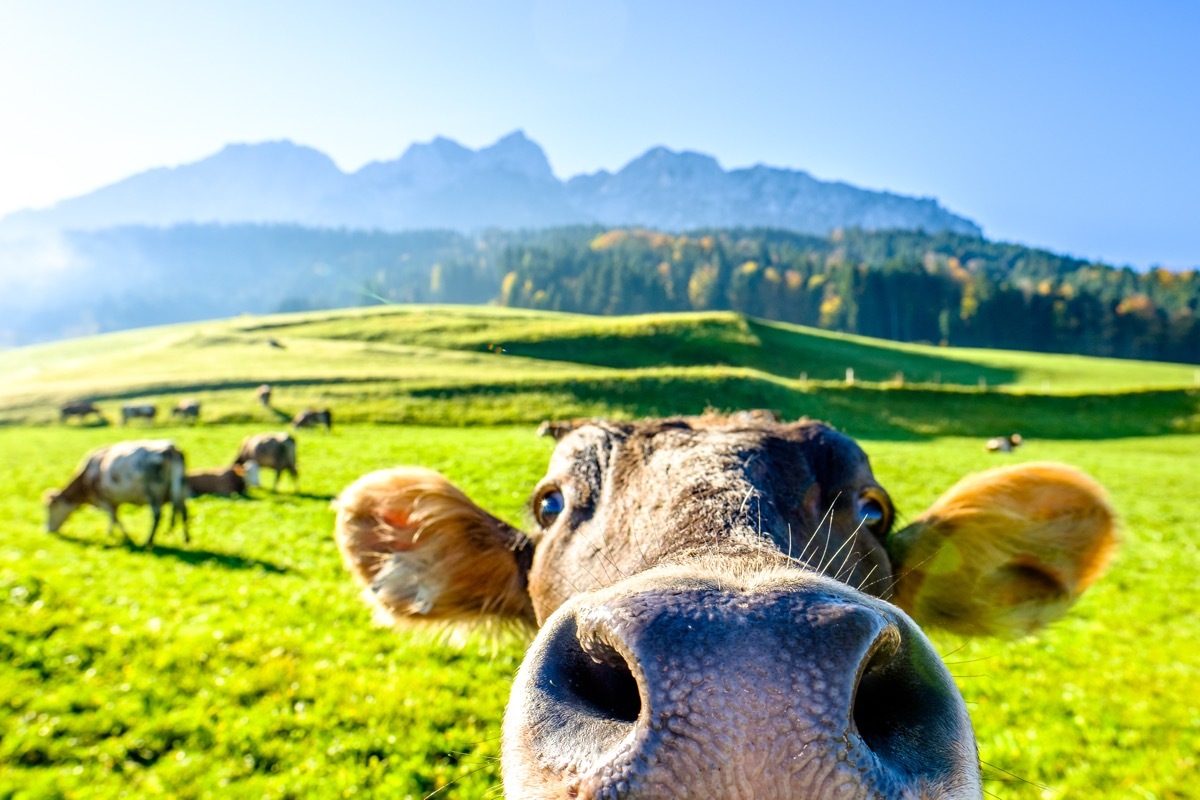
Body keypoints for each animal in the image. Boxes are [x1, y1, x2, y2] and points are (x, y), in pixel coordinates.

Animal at [43, 441, 187, 546]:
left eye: (51, 507)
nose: (47, 530)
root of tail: (170, 448)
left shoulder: (103, 500)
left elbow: (115, 518)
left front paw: (127, 537)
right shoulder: (113, 501)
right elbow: (113, 518)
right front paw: (110, 533)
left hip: (153, 492)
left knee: (157, 514)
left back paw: (149, 541)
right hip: (178, 489)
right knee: (183, 510)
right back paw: (186, 539)